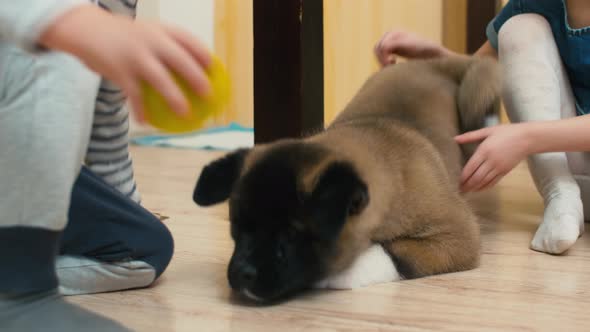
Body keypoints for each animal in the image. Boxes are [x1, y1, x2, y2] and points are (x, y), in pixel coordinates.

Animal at [194, 55, 504, 304]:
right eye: (236, 227)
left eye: (292, 234)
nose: (241, 274)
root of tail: (435, 62)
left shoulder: (457, 237)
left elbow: (392, 254)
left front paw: (343, 273)